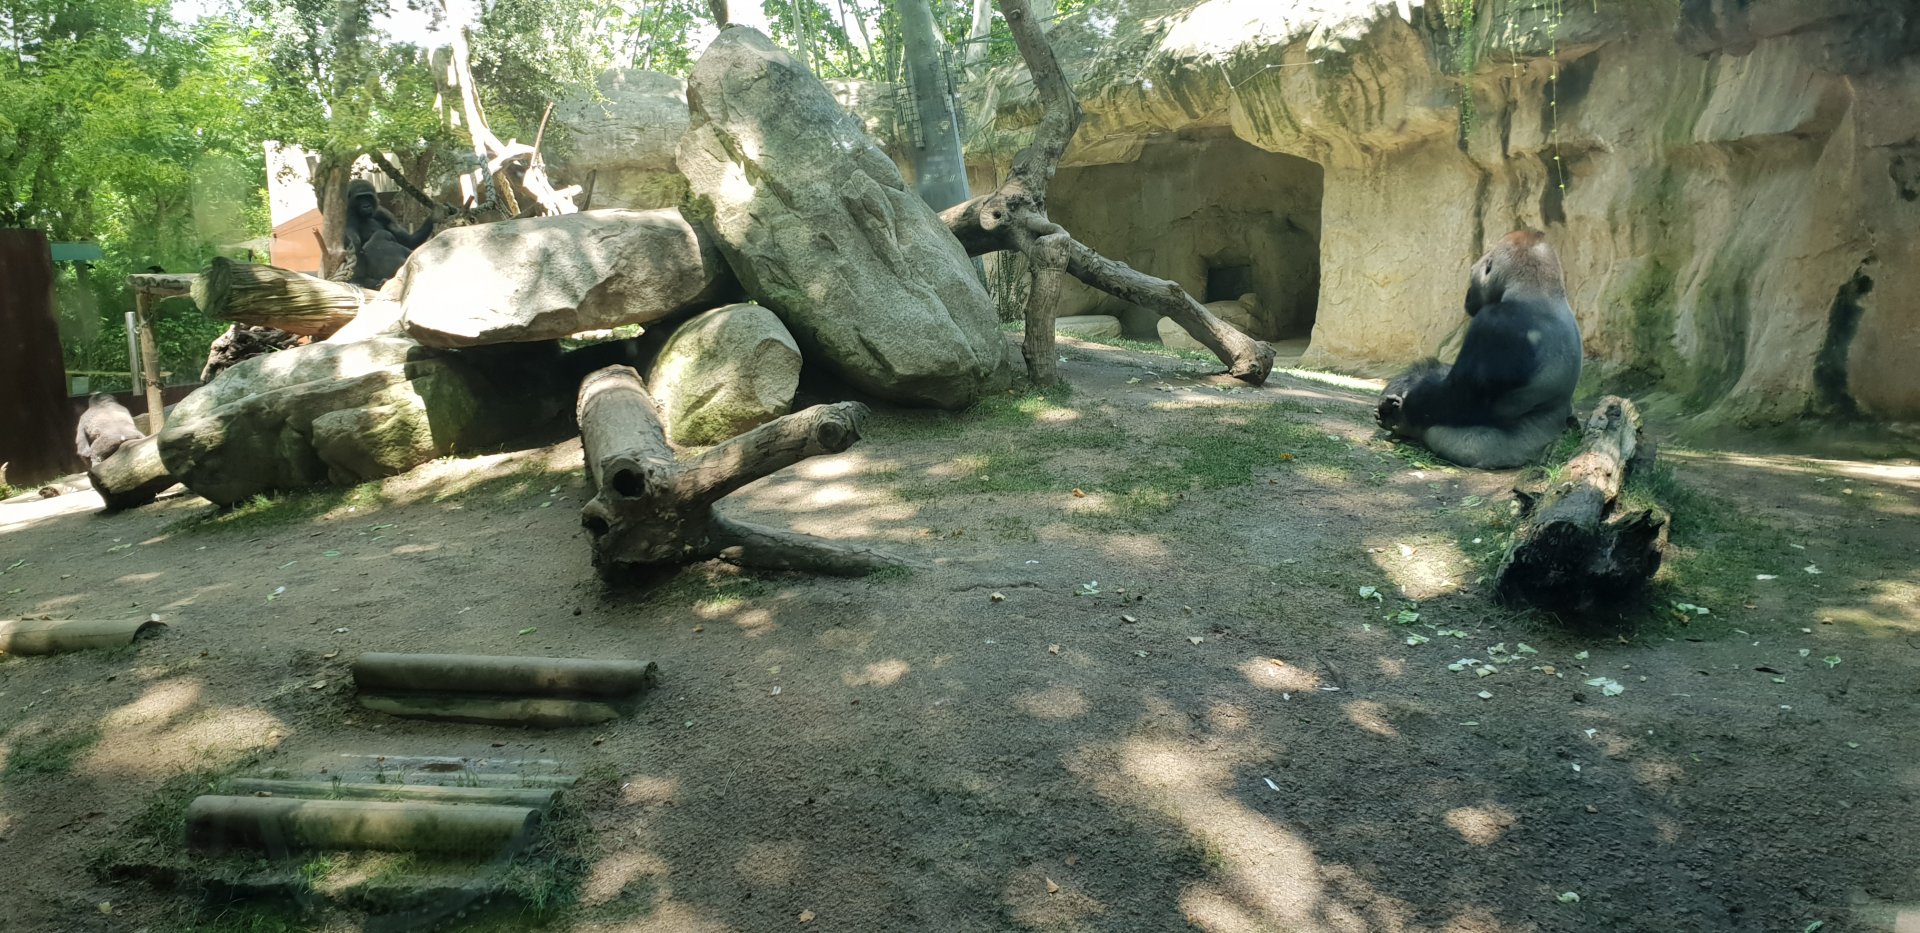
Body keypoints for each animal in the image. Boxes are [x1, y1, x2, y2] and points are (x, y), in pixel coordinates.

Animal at [1374, 229, 1583, 469]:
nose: (1467, 294)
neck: (1538, 292)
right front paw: (1405, 381)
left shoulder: (1494, 322)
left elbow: (1456, 395)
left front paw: (1399, 409)